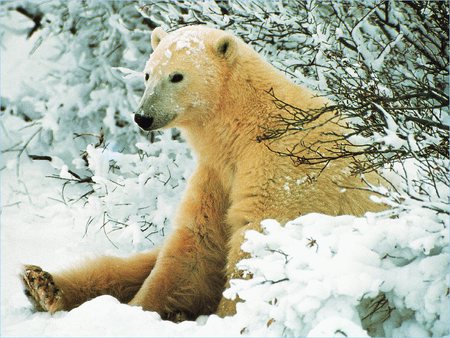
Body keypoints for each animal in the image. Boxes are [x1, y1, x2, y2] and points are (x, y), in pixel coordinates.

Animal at [22, 25, 384, 320]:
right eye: (148, 74)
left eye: (177, 76)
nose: (143, 116)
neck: (247, 124)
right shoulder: (216, 172)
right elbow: (195, 245)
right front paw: (138, 311)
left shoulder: (285, 168)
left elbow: (258, 243)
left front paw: (228, 318)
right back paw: (42, 285)